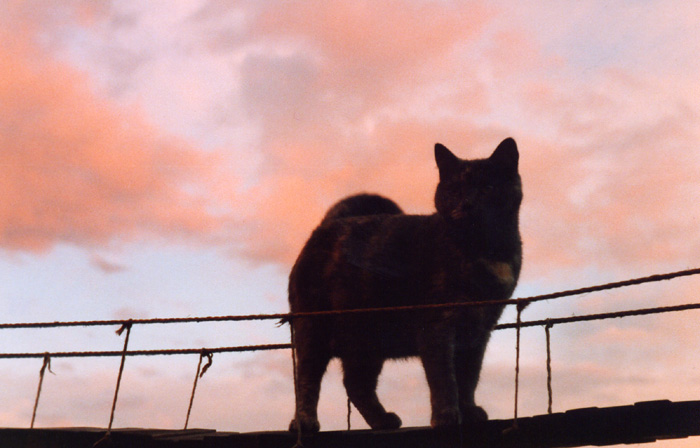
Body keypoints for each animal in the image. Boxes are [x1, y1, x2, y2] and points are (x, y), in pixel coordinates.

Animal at [288, 138, 524, 432]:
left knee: (356, 384)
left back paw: (382, 420)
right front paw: (446, 416)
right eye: (454, 190)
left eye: (488, 187)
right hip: (314, 329)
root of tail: (325, 226)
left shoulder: (480, 330)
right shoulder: (438, 324)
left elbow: (469, 376)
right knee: (307, 379)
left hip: (366, 342)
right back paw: (305, 422)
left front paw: (469, 410)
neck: (485, 250)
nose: (467, 204)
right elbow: (444, 378)